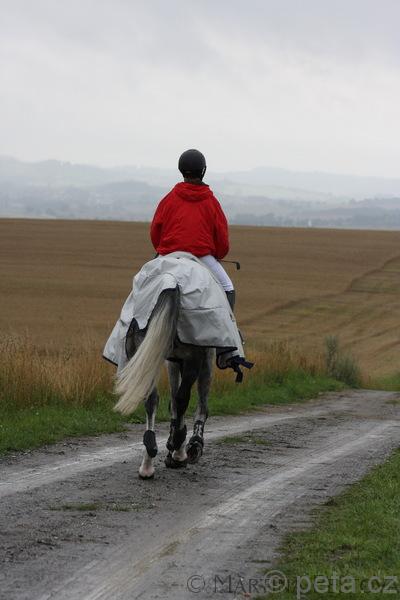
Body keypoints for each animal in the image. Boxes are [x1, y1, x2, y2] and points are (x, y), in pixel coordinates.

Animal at [114, 288, 215, 479]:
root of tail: (172, 287)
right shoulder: (202, 354)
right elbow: (191, 402)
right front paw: (189, 447)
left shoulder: (172, 358)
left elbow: (173, 401)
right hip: (194, 357)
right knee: (182, 398)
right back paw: (178, 449)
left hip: (145, 354)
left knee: (151, 399)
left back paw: (147, 463)